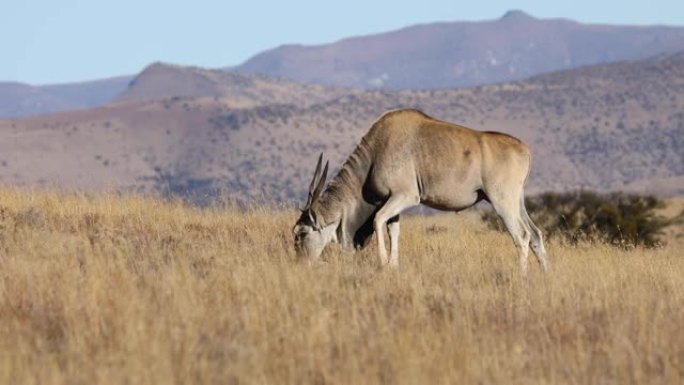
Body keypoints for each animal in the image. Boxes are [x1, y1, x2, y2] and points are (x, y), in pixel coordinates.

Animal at [292, 108, 548, 272]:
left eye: (301, 233)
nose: (300, 264)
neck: (376, 152)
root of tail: (524, 149)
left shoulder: (406, 196)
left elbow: (378, 220)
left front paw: (383, 263)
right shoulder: (393, 202)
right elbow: (392, 230)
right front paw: (393, 266)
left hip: (502, 201)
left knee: (522, 236)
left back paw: (522, 277)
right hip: (517, 202)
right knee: (535, 234)